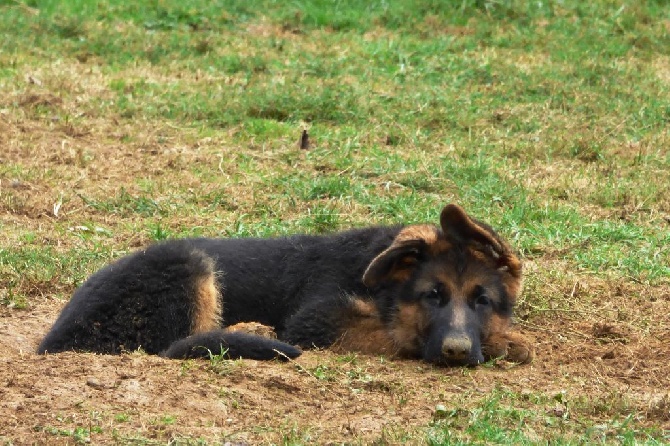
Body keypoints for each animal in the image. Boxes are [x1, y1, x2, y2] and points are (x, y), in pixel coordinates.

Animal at [39, 205, 536, 366]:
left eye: (482, 301)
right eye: (432, 296)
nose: (456, 352)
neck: (385, 287)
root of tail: (53, 340)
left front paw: (506, 341)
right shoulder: (314, 320)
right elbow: (397, 336)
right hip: (188, 267)